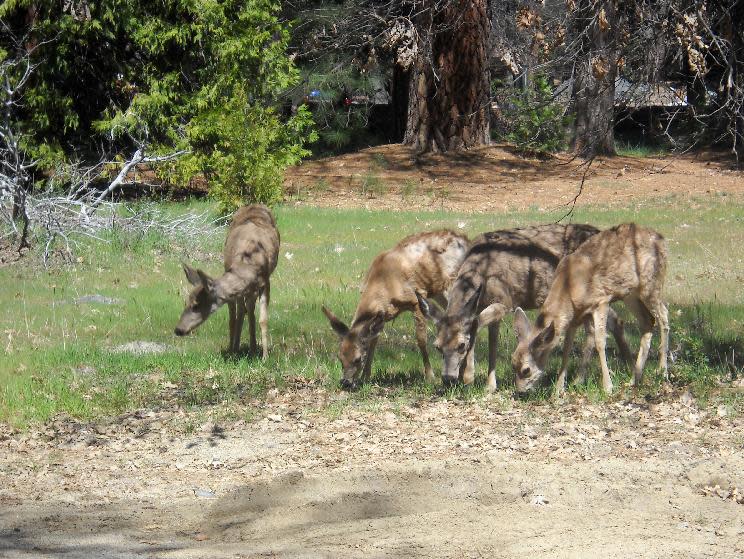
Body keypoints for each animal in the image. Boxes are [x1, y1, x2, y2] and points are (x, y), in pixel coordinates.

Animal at [174, 203, 280, 356]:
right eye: (186, 302)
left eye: (196, 305)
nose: (178, 329)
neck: (247, 264)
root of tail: (254, 204)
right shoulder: (234, 287)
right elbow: (233, 318)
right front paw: (232, 350)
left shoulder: (265, 282)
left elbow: (262, 320)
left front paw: (263, 355)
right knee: (242, 311)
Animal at [322, 230, 468, 392]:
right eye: (340, 357)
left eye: (358, 358)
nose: (345, 382)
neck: (384, 283)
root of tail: (464, 239)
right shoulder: (382, 315)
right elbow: (373, 341)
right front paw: (365, 377)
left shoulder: (416, 298)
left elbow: (421, 339)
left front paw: (430, 377)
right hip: (438, 291)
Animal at [416, 225, 632, 392]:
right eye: (437, 346)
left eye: (461, 345)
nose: (447, 378)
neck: (480, 271)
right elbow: (492, 340)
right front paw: (489, 385)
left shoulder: (505, 301)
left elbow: (476, 324)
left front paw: (468, 376)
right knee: (610, 323)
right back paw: (620, 368)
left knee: (605, 326)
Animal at [512, 221, 668, 396]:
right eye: (512, 362)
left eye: (526, 370)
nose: (519, 391)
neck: (569, 287)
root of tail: (662, 239)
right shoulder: (576, 317)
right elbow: (569, 347)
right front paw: (560, 388)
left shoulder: (601, 301)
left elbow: (600, 341)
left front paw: (608, 386)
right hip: (630, 294)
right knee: (648, 321)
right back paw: (635, 379)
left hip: (651, 283)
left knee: (663, 315)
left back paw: (662, 370)